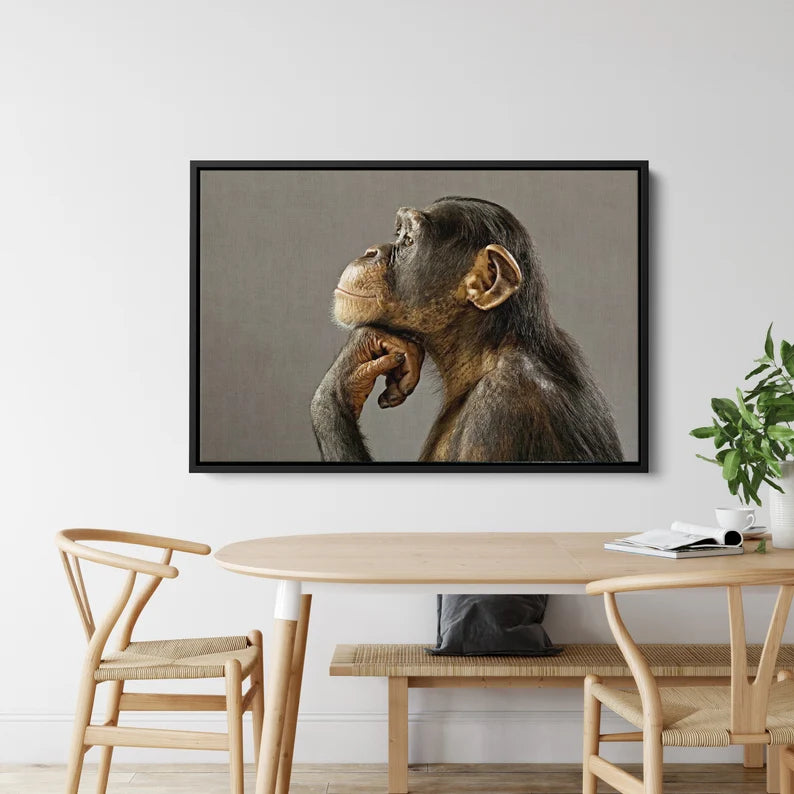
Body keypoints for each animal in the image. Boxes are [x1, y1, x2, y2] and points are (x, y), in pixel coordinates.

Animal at [310, 196, 624, 463]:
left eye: (409, 240)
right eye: (398, 233)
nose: (371, 251)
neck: (486, 351)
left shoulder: (501, 412)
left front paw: (342, 376)